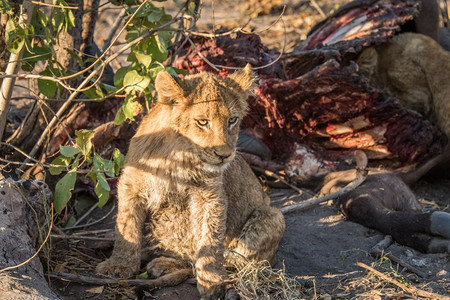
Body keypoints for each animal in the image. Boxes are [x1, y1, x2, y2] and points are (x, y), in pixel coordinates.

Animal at [97, 64, 284, 298]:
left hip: (273, 215)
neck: (178, 155)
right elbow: (126, 227)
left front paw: (212, 281)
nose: (224, 155)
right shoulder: (132, 185)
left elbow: (210, 239)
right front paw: (119, 265)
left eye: (232, 120)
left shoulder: (210, 196)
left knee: (235, 261)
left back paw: (165, 265)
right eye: (202, 122)